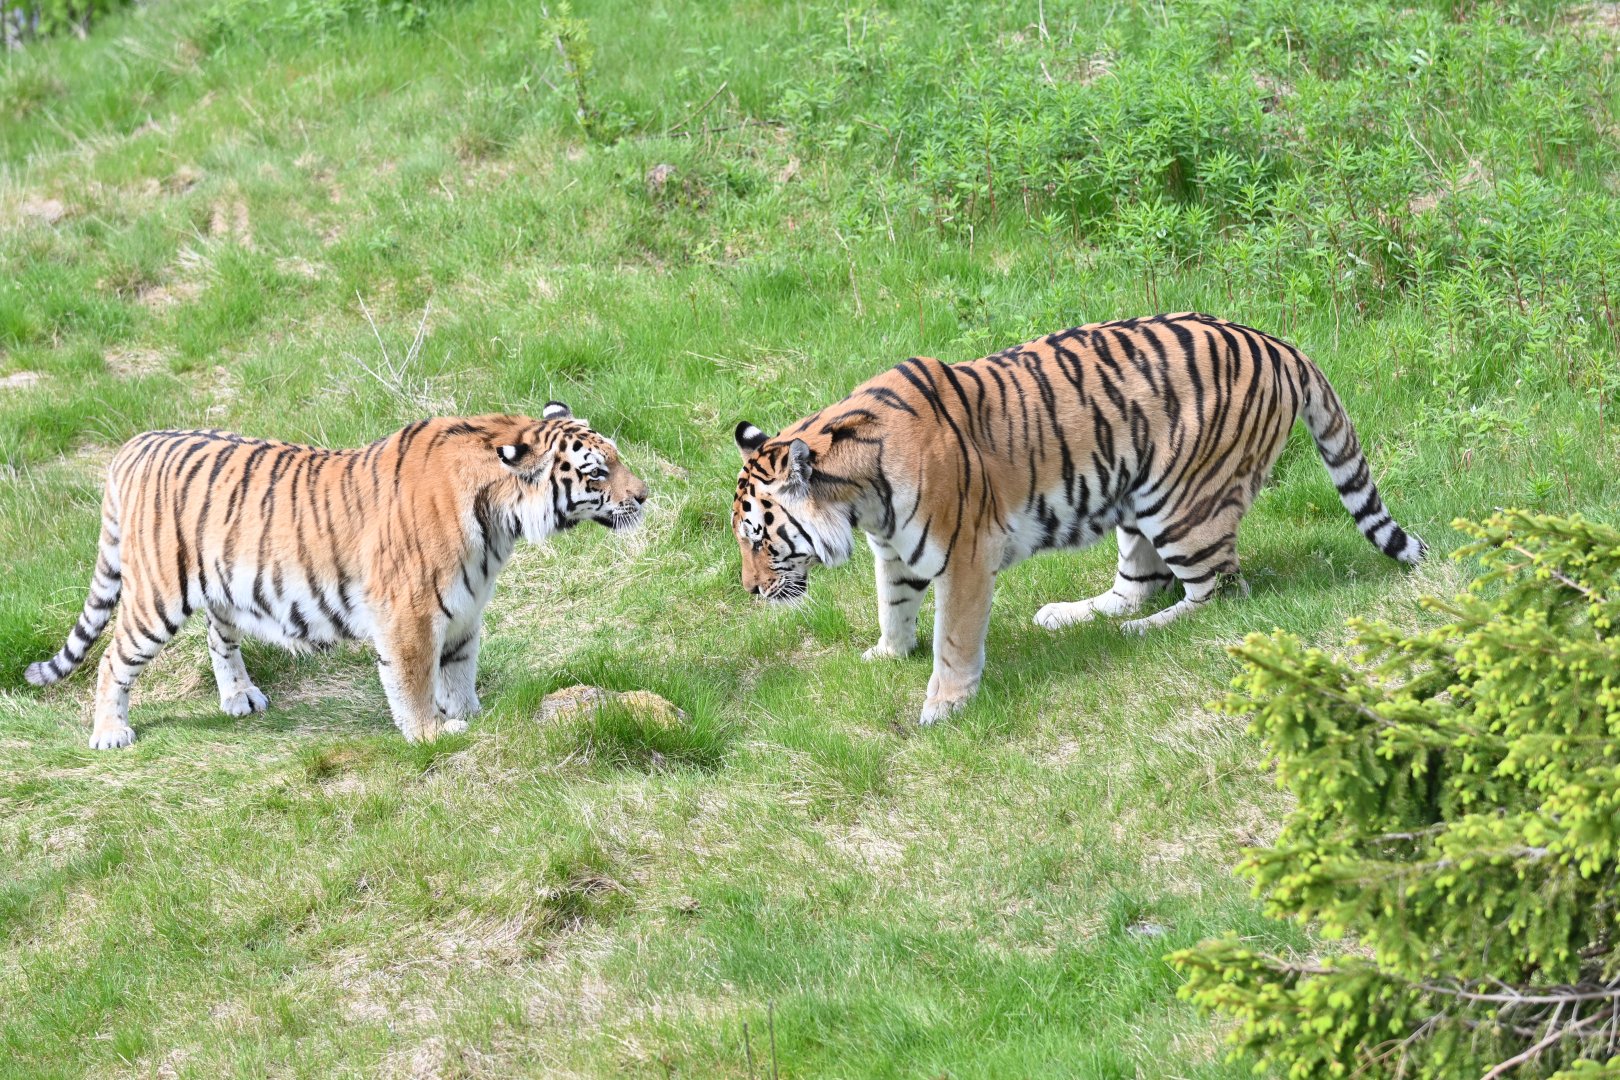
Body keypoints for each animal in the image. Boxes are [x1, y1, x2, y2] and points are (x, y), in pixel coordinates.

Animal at [26, 402, 649, 749]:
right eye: (597, 472)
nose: (645, 495)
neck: (501, 522)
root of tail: (133, 444)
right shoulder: (410, 612)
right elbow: (415, 681)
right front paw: (429, 733)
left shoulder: (465, 609)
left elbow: (459, 671)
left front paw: (472, 715)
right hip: (156, 595)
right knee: (113, 659)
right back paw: (110, 733)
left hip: (220, 586)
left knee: (218, 636)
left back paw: (240, 697)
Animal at [732, 312, 1425, 725]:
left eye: (760, 540)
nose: (750, 591)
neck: (859, 499)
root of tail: (1278, 343)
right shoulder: (895, 551)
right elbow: (892, 605)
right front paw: (885, 653)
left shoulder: (965, 556)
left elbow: (952, 640)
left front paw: (943, 706)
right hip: (1136, 502)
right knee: (1138, 585)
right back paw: (1070, 615)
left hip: (1183, 506)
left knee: (1221, 592)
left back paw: (1145, 632)